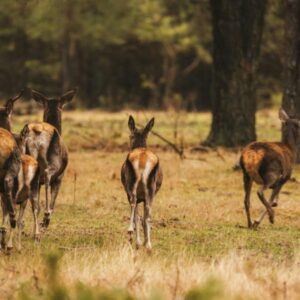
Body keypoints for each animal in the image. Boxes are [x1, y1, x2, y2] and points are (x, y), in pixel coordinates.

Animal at [120, 116, 163, 250]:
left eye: (130, 135)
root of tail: (143, 162)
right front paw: (145, 241)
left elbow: (138, 216)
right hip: (150, 188)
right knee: (147, 213)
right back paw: (147, 244)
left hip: (131, 185)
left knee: (134, 204)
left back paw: (133, 235)